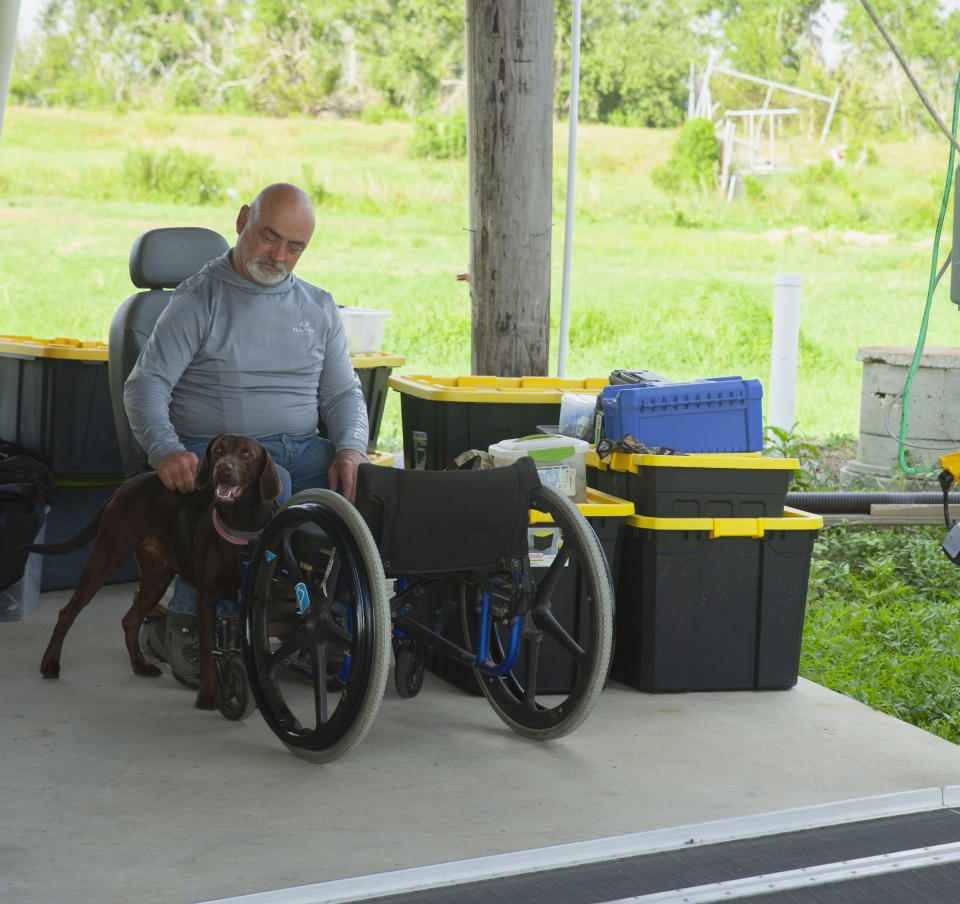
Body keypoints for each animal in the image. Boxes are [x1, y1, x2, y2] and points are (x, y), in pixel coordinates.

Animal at [25, 434, 282, 708]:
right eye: (219, 450)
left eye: (247, 454)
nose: (223, 468)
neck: (239, 526)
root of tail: (128, 485)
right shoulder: (206, 597)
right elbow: (206, 650)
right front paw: (207, 694)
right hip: (105, 558)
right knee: (67, 613)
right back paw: (50, 663)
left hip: (157, 577)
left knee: (130, 620)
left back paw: (139, 664)